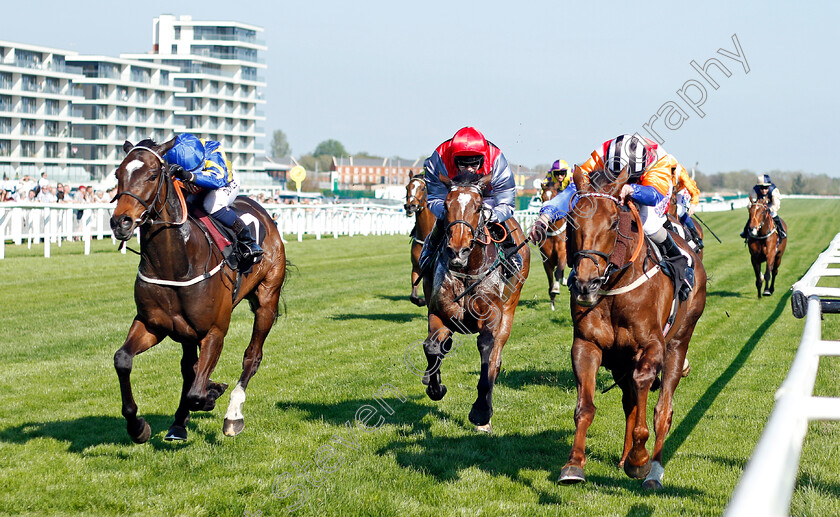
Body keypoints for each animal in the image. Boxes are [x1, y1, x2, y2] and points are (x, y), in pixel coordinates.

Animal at [110, 138, 288, 444]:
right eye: (118, 174)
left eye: (153, 175)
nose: (120, 222)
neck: (175, 263)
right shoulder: (151, 324)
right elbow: (122, 360)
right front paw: (138, 427)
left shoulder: (214, 331)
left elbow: (196, 392)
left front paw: (212, 393)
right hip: (185, 331)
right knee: (188, 368)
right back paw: (179, 424)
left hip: (267, 299)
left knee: (252, 357)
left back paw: (232, 415)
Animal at [424, 172, 528, 432]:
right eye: (446, 205)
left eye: (479, 206)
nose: (457, 251)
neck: (466, 271)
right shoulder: (438, 312)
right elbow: (432, 347)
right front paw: (435, 387)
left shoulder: (491, 317)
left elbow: (487, 352)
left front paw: (481, 412)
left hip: (510, 309)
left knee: (496, 359)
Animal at [560, 165, 704, 488]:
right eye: (572, 219)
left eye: (614, 222)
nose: (585, 284)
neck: (615, 284)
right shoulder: (587, 344)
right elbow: (585, 407)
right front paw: (574, 464)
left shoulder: (652, 345)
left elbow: (645, 388)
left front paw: (640, 461)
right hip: (619, 360)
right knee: (630, 401)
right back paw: (626, 457)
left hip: (678, 343)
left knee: (663, 409)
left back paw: (653, 469)